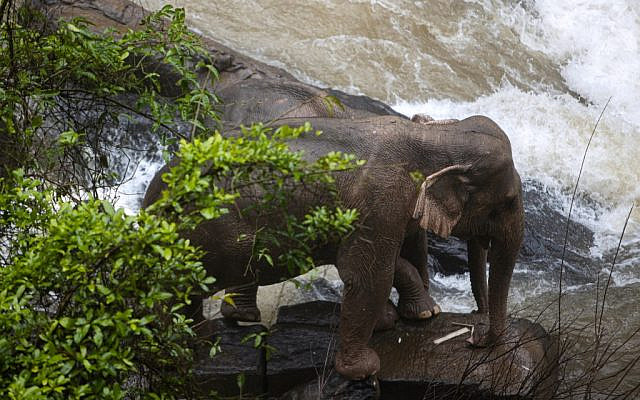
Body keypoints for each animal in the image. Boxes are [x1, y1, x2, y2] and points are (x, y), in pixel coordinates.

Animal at [142, 114, 524, 380]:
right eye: (507, 201)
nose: (473, 337)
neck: (436, 136)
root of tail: (152, 197)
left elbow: (382, 262)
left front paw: (405, 317)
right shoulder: (380, 202)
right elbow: (368, 275)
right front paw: (365, 369)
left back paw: (213, 331)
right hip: (211, 235)